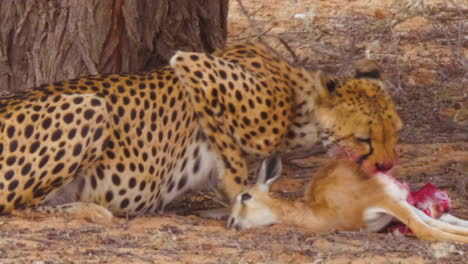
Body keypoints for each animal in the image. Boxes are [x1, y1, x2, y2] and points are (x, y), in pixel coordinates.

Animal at [0, 41, 402, 219]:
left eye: (395, 133)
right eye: (364, 139)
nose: (386, 166)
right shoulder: (194, 65)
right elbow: (230, 155)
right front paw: (241, 196)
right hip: (91, 106)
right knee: (16, 206)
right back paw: (88, 210)